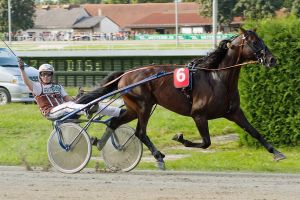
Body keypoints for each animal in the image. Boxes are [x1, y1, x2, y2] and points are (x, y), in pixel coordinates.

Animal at [77, 27, 286, 169]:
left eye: (261, 39)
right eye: (254, 42)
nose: (272, 59)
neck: (218, 78)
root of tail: (126, 74)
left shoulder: (234, 112)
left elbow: (255, 132)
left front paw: (277, 152)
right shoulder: (199, 115)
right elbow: (206, 142)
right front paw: (181, 138)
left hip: (133, 108)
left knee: (114, 122)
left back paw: (100, 143)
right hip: (143, 106)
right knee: (140, 133)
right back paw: (158, 157)